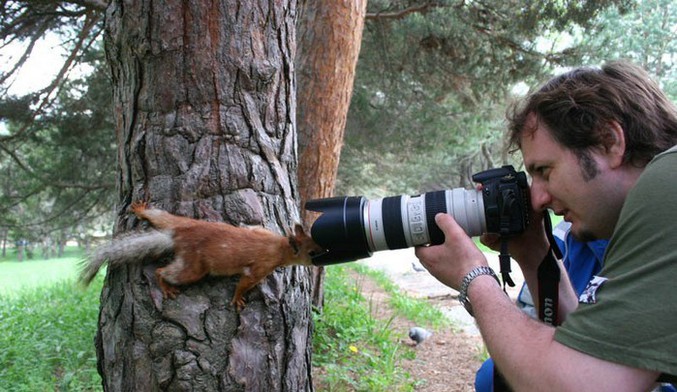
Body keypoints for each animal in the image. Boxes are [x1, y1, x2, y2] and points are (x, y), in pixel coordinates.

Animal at [79, 202, 322, 310]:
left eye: (316, 239)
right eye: (312, 252)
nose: (324, 257)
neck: (279, 245)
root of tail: (176, 236)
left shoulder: (263, 232)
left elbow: (253, 227)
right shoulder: (261, 266)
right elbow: (245, 282)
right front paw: (237, 299)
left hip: (177, 220)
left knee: (159, 216)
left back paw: (141, 209)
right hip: (193, 267)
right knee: (162, 271)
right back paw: (166, 286)